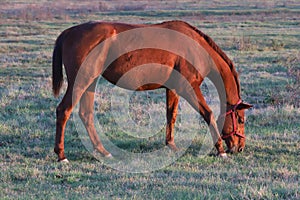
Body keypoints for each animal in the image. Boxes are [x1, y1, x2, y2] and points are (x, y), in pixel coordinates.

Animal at [52, 20, 252, 162]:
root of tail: (69, 32)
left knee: (86, 114)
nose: (240, 147)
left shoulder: (173, 89)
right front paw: (220, 149)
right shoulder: (189, 88)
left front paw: (171, 145)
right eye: (241, 119)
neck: (195, 47)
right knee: (64, 111)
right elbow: (208, 114)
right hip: (81, 83)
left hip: (90, 84)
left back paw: (102, 151)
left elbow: (171, 115)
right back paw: (61, 155)